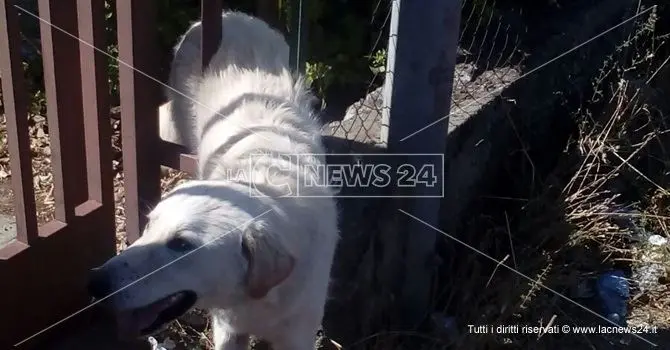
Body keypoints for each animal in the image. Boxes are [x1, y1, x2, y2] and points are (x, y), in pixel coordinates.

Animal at [89, 10, 338, 350]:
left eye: (181, 245)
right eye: (149, 226)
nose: (95, 283)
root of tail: (230, 15)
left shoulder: (297, 335)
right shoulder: (228, 330)